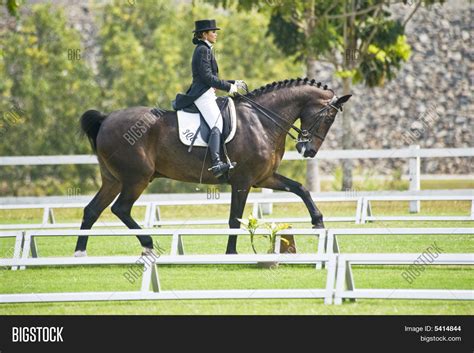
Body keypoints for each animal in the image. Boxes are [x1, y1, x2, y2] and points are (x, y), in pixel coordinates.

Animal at [73, 77, 348, 253]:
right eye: (329, 117)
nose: (308, 150)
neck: (261, 120)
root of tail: (106, 119)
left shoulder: (264, 177)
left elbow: (301, 188)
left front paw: (318, 222)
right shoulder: (243, 181)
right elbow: (235, 219)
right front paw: (231, 253)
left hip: (113, 179)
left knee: (91, 210)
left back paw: (79, 254)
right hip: (136, 178)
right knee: (120, 209)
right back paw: (148, 244)